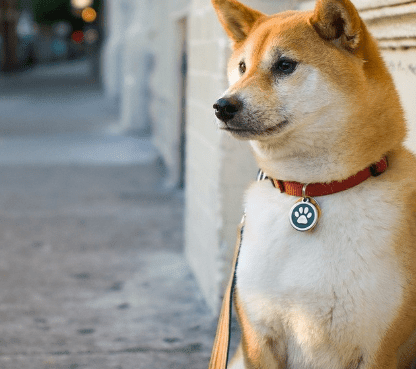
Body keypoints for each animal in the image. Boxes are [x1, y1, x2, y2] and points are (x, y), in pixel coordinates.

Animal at [210, 0, 416, 368]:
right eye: (242, 67)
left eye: (284, 65)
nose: (222, 105)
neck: (312, 188)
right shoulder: (259, 338)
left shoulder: (381, 348)